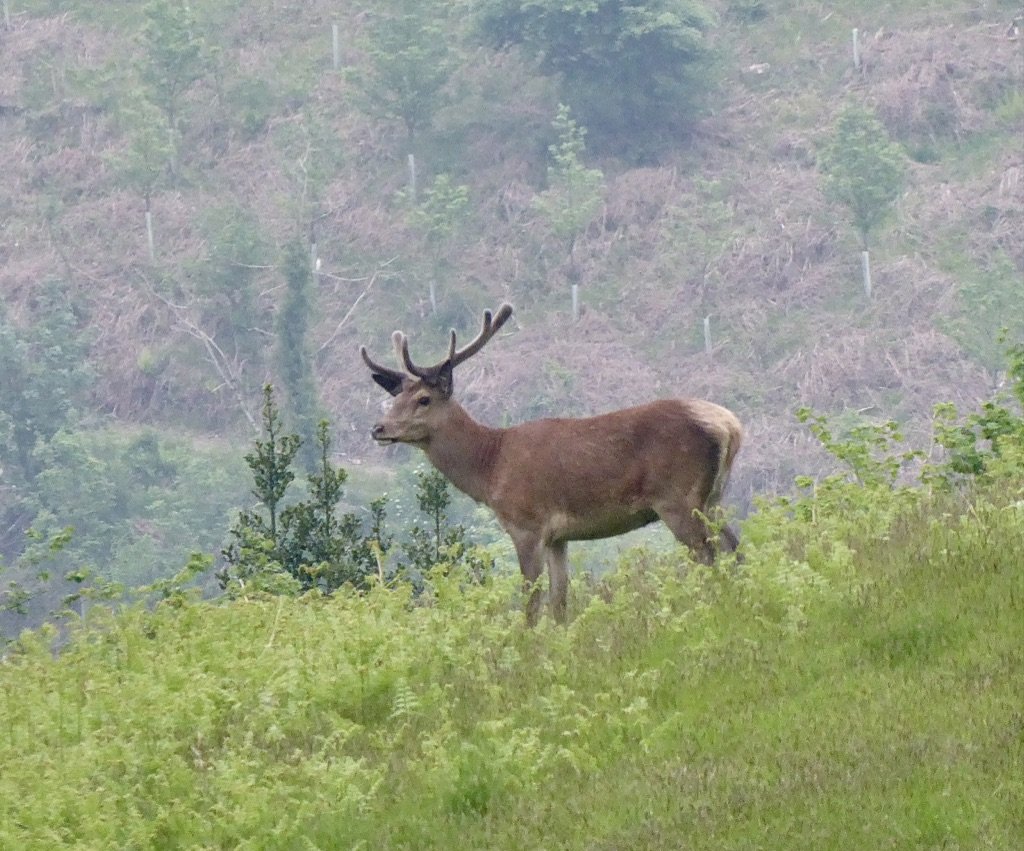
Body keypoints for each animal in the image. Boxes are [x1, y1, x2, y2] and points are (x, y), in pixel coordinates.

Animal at [360, 304, 742, 625]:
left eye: (424, 399)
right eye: (395, 397)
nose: (378, 428)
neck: (490, 467)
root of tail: (730, 426)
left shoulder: (526, 524)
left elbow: (531, 601)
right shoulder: (559, 535)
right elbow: (560, 601)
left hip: (677, 497)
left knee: (708, 556)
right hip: (714, 497)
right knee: (734, 548)